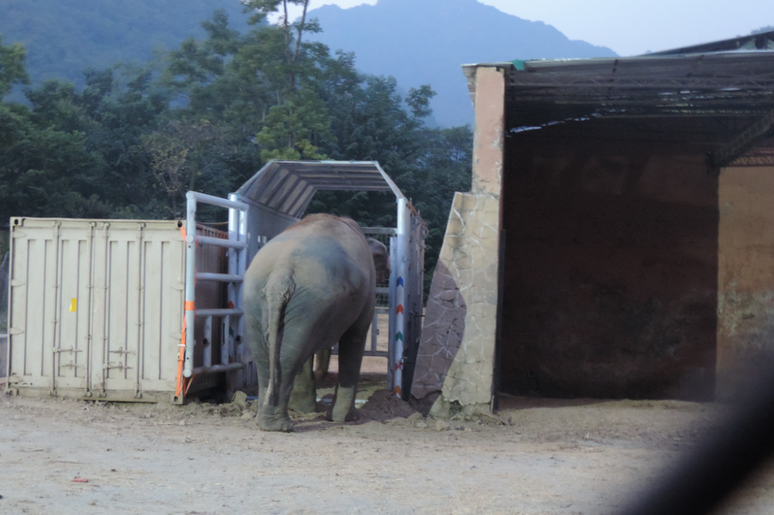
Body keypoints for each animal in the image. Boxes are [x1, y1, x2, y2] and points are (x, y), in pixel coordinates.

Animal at [246, 212, 392, 434]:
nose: (390, 273)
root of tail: (281, 273)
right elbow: (355, 336)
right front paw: (347, 418)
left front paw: (307, 410)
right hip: (311, 300)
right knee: (291, 354)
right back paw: (281, 425)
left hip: (271, 301)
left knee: (272, 355)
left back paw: (267, 422)